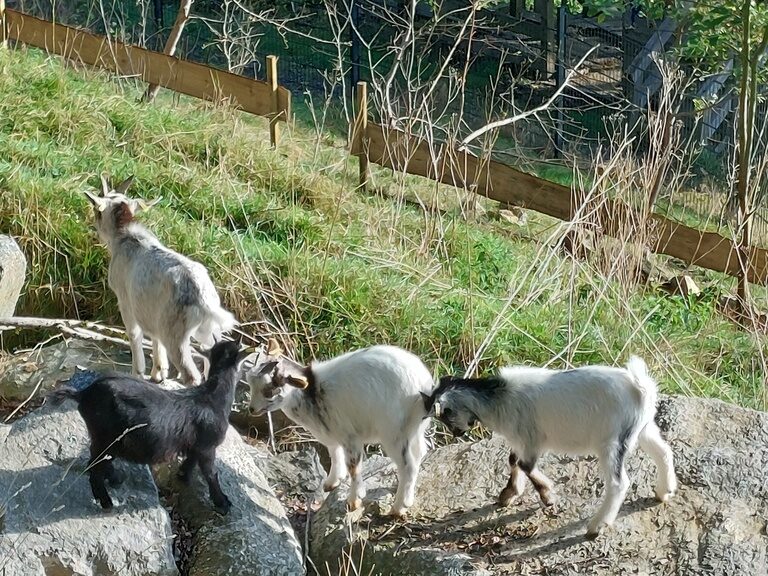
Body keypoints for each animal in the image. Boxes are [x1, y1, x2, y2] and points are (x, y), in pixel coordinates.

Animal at [47, 339, 263, 514]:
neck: (212, 398)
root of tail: (83, 394)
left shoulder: (196, 445)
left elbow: (191, 460)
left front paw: (183, 475)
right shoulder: (207, 446)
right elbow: (211, 473)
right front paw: (222, 502)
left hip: (104, 439)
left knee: (98, 461)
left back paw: (116, 479)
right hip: (106, 437)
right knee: (93, 467)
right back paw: (106, 501)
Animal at [83, 175, 236, 385]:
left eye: (96, 210)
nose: (94, 228)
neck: (124, 237)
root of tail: (202, 297)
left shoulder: (125, 300)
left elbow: (134, 334)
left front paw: (138, 373)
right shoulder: (151, 311)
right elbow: (155, 337)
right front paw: (159, 372)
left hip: (175, 332)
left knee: (190, 373)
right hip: (206, 330)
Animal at [247, 342, 434, 517]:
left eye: (269, 390)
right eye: (250, 383)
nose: (251, 409)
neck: (313, 393)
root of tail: (423, 385)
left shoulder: (351, 437)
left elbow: (353, 467)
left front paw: (354, 501)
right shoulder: (333, 433)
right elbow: (334, 454)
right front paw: (332, 482)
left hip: (394, 434)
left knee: (408, 466)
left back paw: (399, 507)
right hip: (414, 430)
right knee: (420, 453)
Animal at [424, 356, 677, 538]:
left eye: (444, 415)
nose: (456, 433)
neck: (500, 398)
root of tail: (641, 389)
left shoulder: (531, 438)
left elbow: (525, 465)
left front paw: (548, 496)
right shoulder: (521, 439)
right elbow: (513, 460)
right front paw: (508, 494)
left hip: (612, 442)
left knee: (619, 483)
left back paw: (596, 526)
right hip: (642, 429)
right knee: (664, 451)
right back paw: (664, 491)